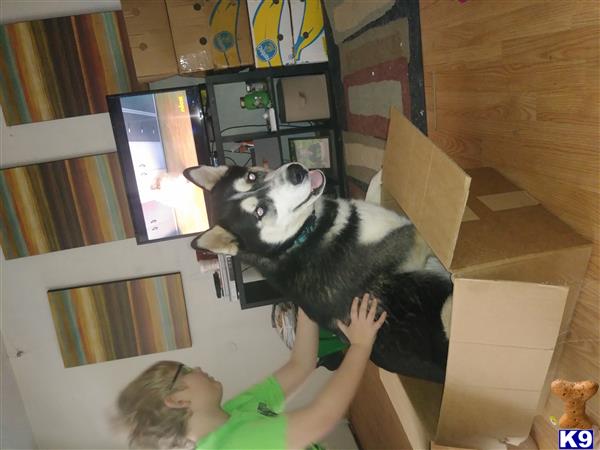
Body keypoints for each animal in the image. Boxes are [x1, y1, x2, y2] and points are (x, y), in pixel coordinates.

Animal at [185, 163, 452, 382]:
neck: (299, 239)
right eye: (260, 212)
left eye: (251, 176)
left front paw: (380, 174)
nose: (296, 171)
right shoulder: (413, 242)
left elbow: (370, 191)